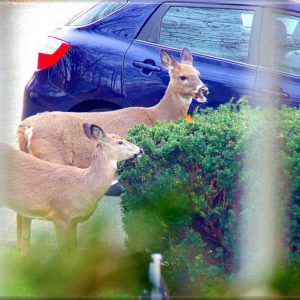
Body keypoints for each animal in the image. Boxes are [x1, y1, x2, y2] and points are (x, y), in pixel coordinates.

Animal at [0, 123, 143, 254]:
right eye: (120, 142)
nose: (141, 150)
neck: (83, 186)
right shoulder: (60, 217)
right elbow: (66, 254)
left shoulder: (73, 222)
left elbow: (73, 251)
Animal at [15, 47, 209, 253]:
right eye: (182, 77)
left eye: (198, 73)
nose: (204, 89)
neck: (155, 116)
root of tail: (26, 128)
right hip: (51, 159)